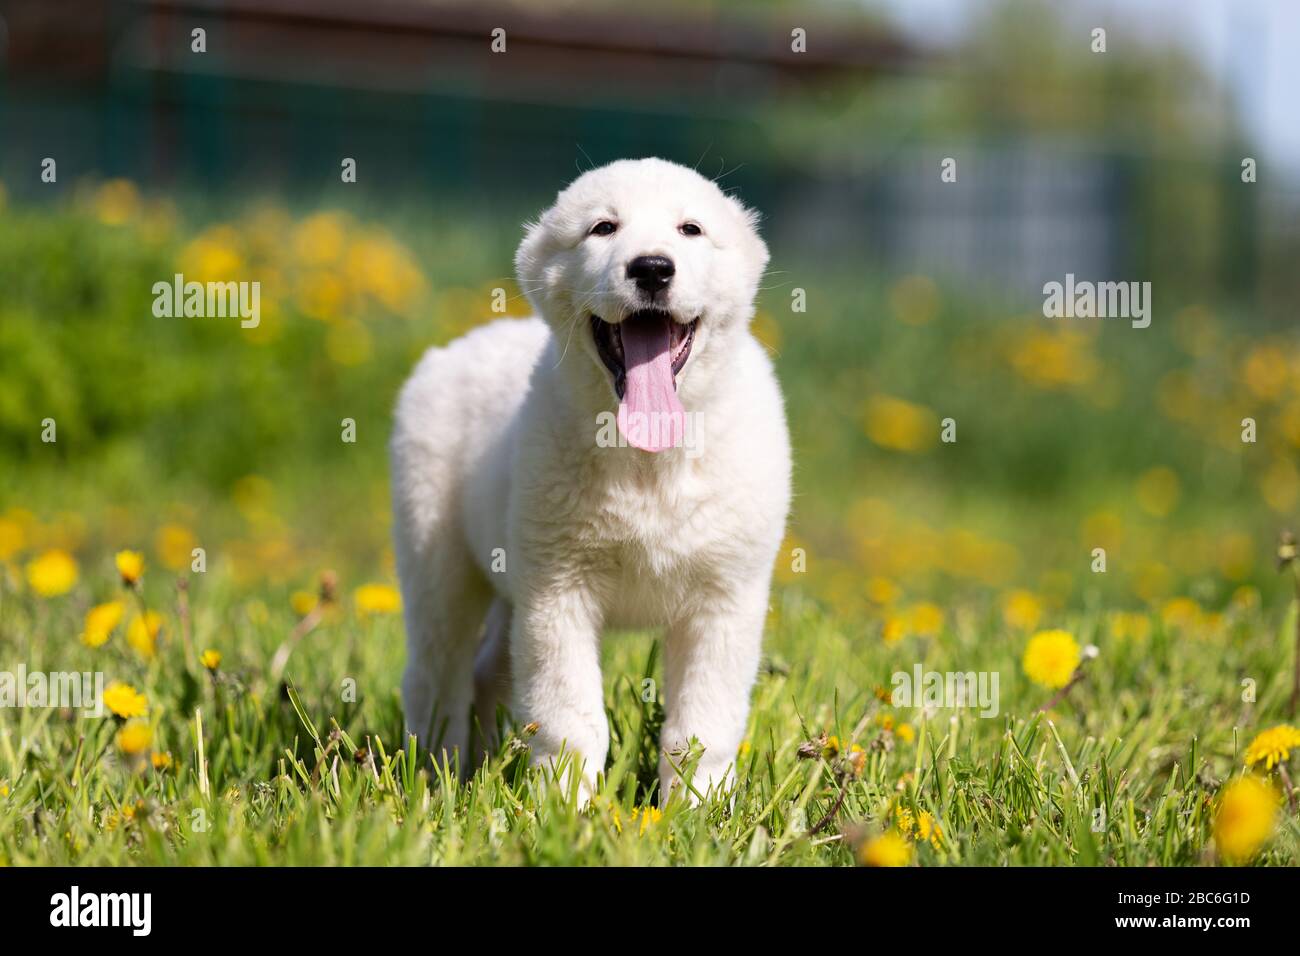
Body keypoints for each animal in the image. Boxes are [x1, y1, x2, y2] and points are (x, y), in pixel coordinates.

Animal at [387, 157, 790, 801]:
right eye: (603, 228)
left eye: (691, 230)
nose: (652, 267)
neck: (648, 462)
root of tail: (461, 343)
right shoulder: (557, 593)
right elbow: (569, 722)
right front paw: (564, 808)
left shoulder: (725, 598)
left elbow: (702, 729)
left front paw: (700, 810)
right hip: (438, 559)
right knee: (435, 676)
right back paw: (436, 777)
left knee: (486, 674)